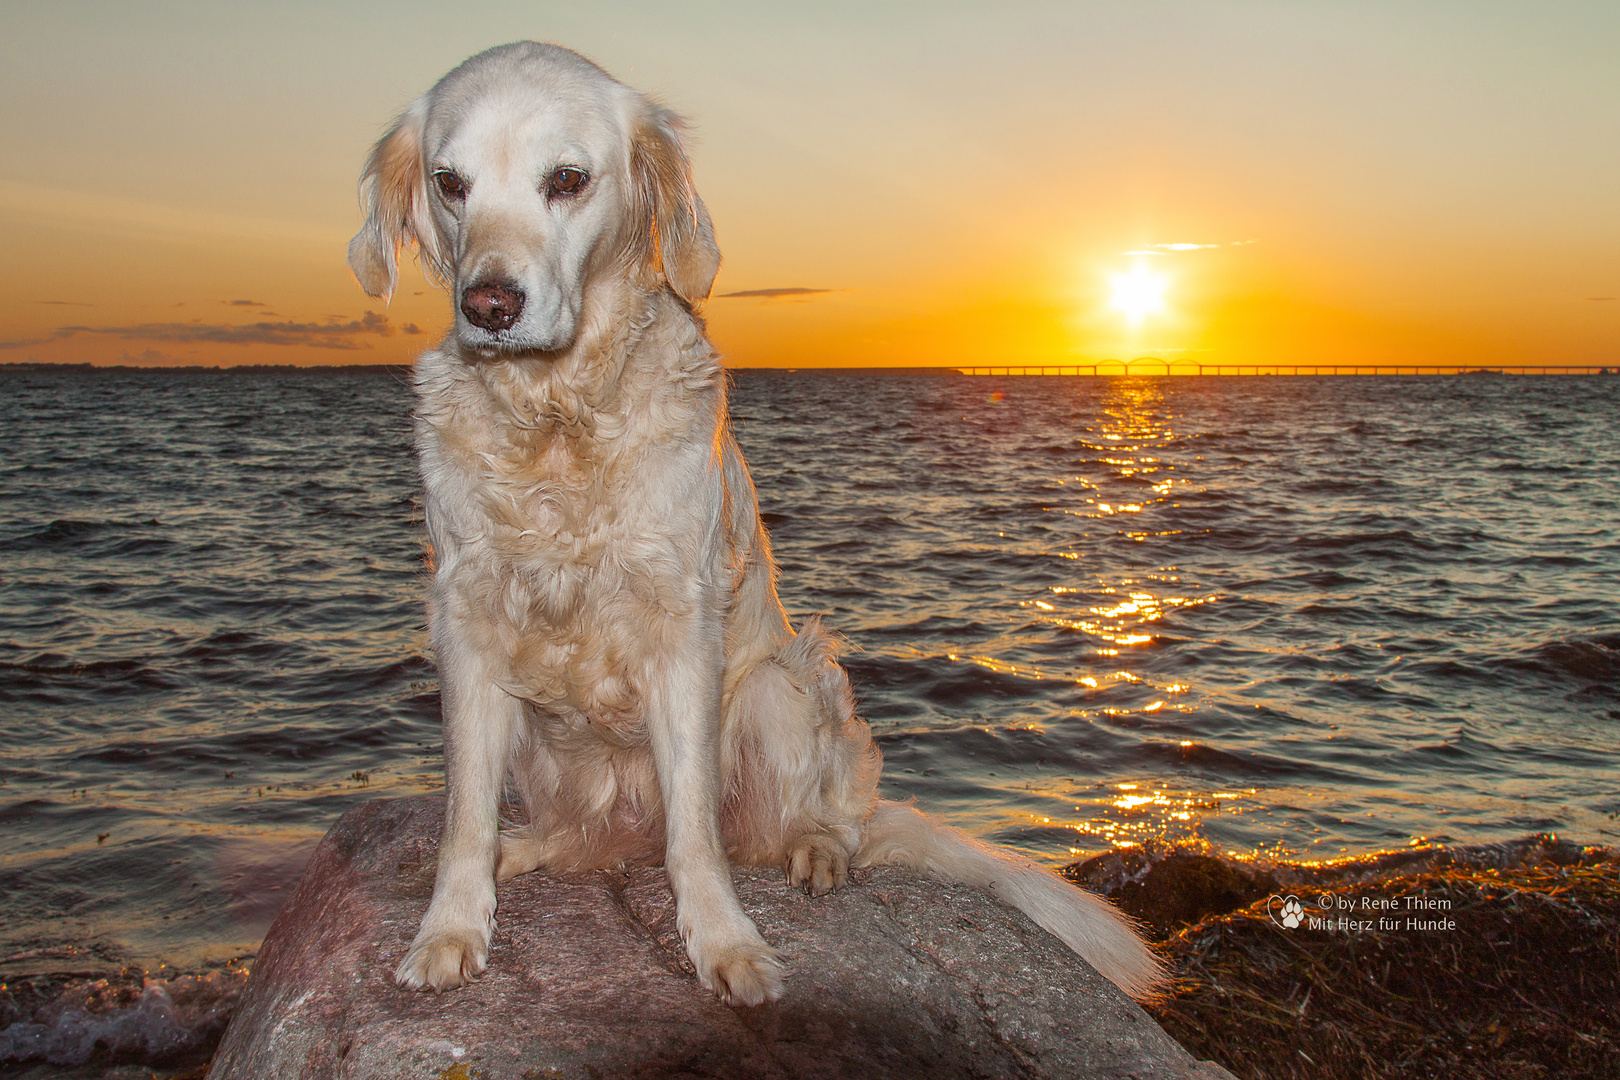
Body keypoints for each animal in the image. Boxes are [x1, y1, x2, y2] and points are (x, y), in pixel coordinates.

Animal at [351, 40, 1166, 1003]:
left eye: (567, 180)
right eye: (451, 183)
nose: (489, 304)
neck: (557, 419)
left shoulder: (683, 630)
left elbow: (696, 835)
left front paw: (724, 942)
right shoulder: (469, 626)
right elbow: (464, 815)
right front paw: (449, 926)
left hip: (784, 689)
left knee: (807, 824)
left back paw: (818, 853)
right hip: (548, 748)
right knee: (588, 838)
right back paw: (534, 848)